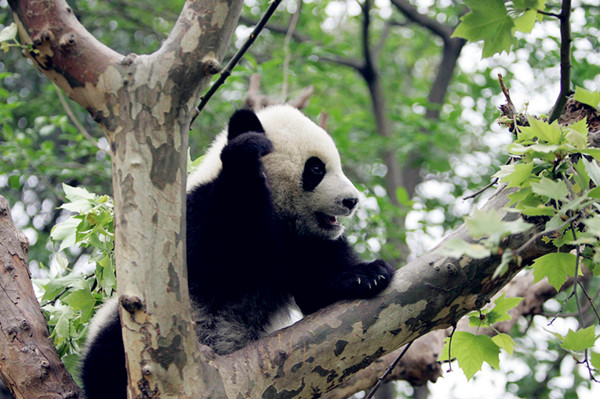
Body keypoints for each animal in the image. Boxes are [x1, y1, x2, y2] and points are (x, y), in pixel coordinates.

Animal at [81, 104, 398, 398]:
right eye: (316, 169)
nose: (352, 201)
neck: (279, 216)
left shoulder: (304, 242)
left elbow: (317, 288)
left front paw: (366, 275)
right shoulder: (194, 215)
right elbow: (219, 252)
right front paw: (246, 153)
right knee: (107, 359)